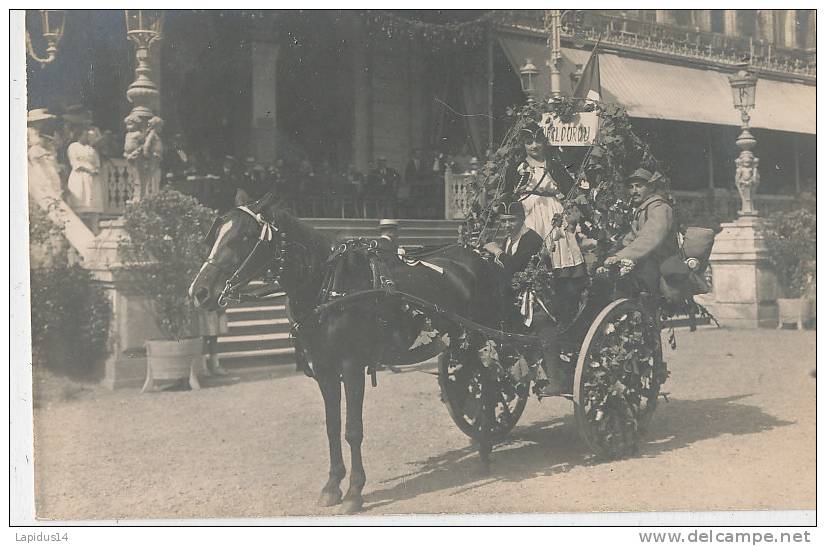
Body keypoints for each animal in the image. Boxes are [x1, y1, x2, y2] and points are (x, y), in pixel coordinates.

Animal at [190, 193, 520, 512]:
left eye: (243, 237)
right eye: (216, 234)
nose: (198, 292)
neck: (328, 288)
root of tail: (482, 257)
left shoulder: (351, 366)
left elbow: (352, 430)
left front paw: (354, 492)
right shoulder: (324, 369)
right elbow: (332, 427)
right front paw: (332, 486)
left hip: (483, 338)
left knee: (490, 385)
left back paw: (486, 448)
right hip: (464, 342)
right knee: (477, 383)